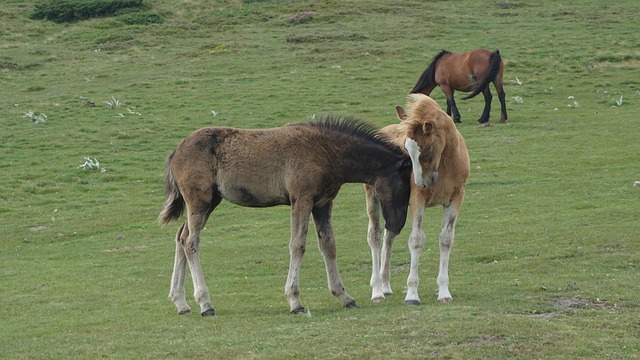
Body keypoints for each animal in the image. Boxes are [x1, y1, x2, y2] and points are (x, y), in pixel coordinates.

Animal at [158, 116, 412, 316]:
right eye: (404, 186)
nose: (397, 225)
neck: (326, 151)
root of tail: (175, 152)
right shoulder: (302, 199)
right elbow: (297, 245)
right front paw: (295, 301)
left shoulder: (322, 204)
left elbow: (329, 246)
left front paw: (344, 296)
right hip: (199, 201)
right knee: (191, 241)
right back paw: (205, 304)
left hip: (211, 201)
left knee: (181, 236)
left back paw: (181, 303)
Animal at [364, 94, 470, 306]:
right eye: (406, 149)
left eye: (427, 150)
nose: (421, 182)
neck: (445, 163)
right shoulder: (417, 200)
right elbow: (416, 240)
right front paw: (412, 295)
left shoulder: (456, 198)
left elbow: (446, 239)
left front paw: (444, 293)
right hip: (373, 197)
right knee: (375, 235)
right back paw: (377, 291)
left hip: (396, 205)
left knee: (390, 234)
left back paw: (386, 286)